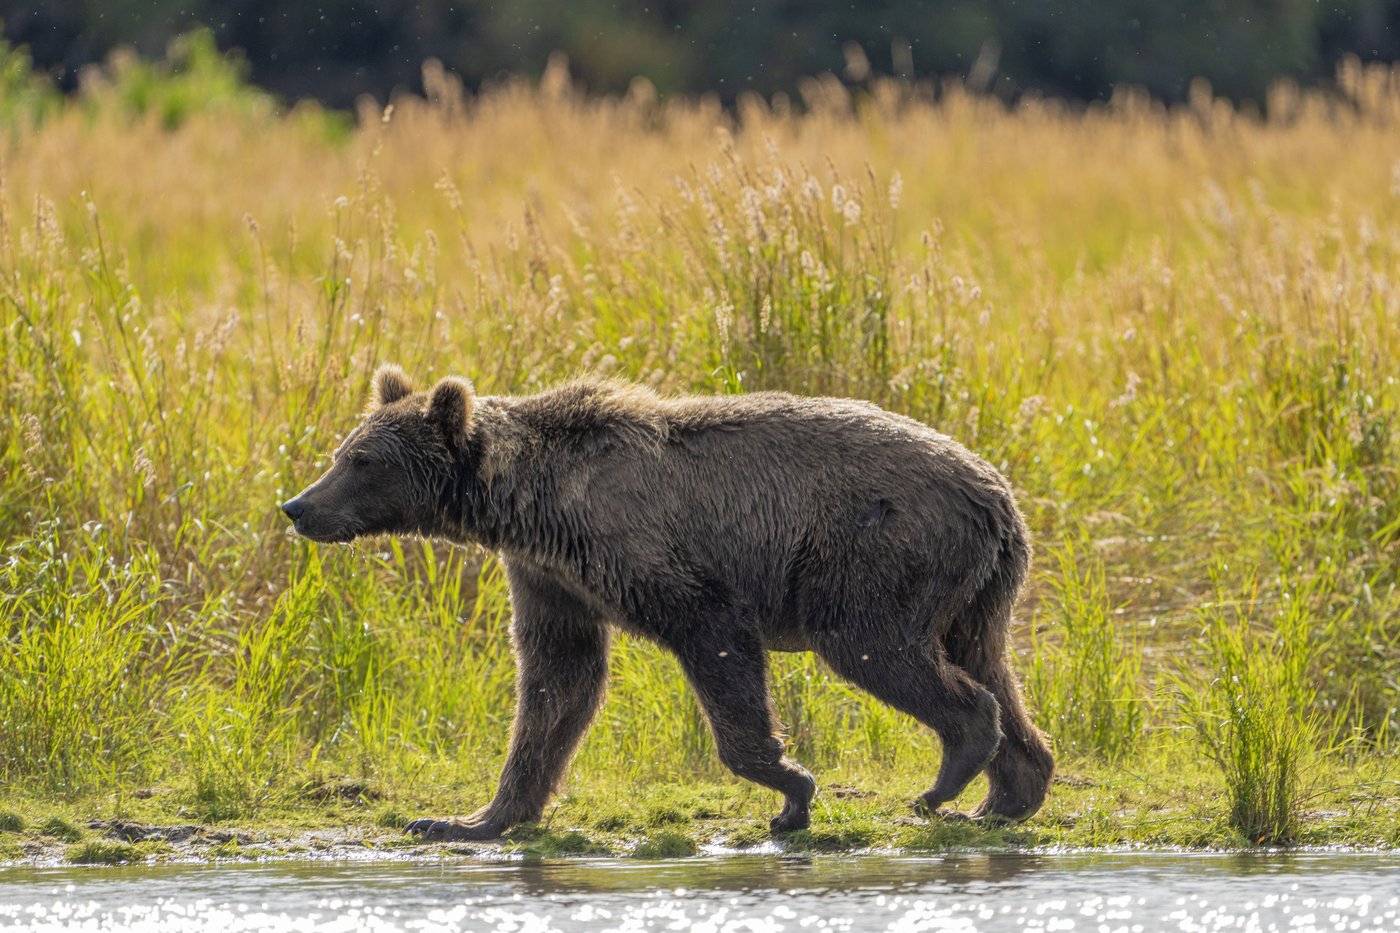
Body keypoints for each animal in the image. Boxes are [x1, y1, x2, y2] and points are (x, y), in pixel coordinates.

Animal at [280, 365, 1054, 840]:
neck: (531, 504)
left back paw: (945, 781)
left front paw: (790, 791)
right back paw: (1006, 794)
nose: (297, 506)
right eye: (344, 449)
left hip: (879, 552)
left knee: (881, 648)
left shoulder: (658, 558)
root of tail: (997, 492)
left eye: (361, 460)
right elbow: (556, 683)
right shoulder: (551, 577)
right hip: (979, 586)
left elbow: (715, 647)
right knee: (989, 662)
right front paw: (469, 818)